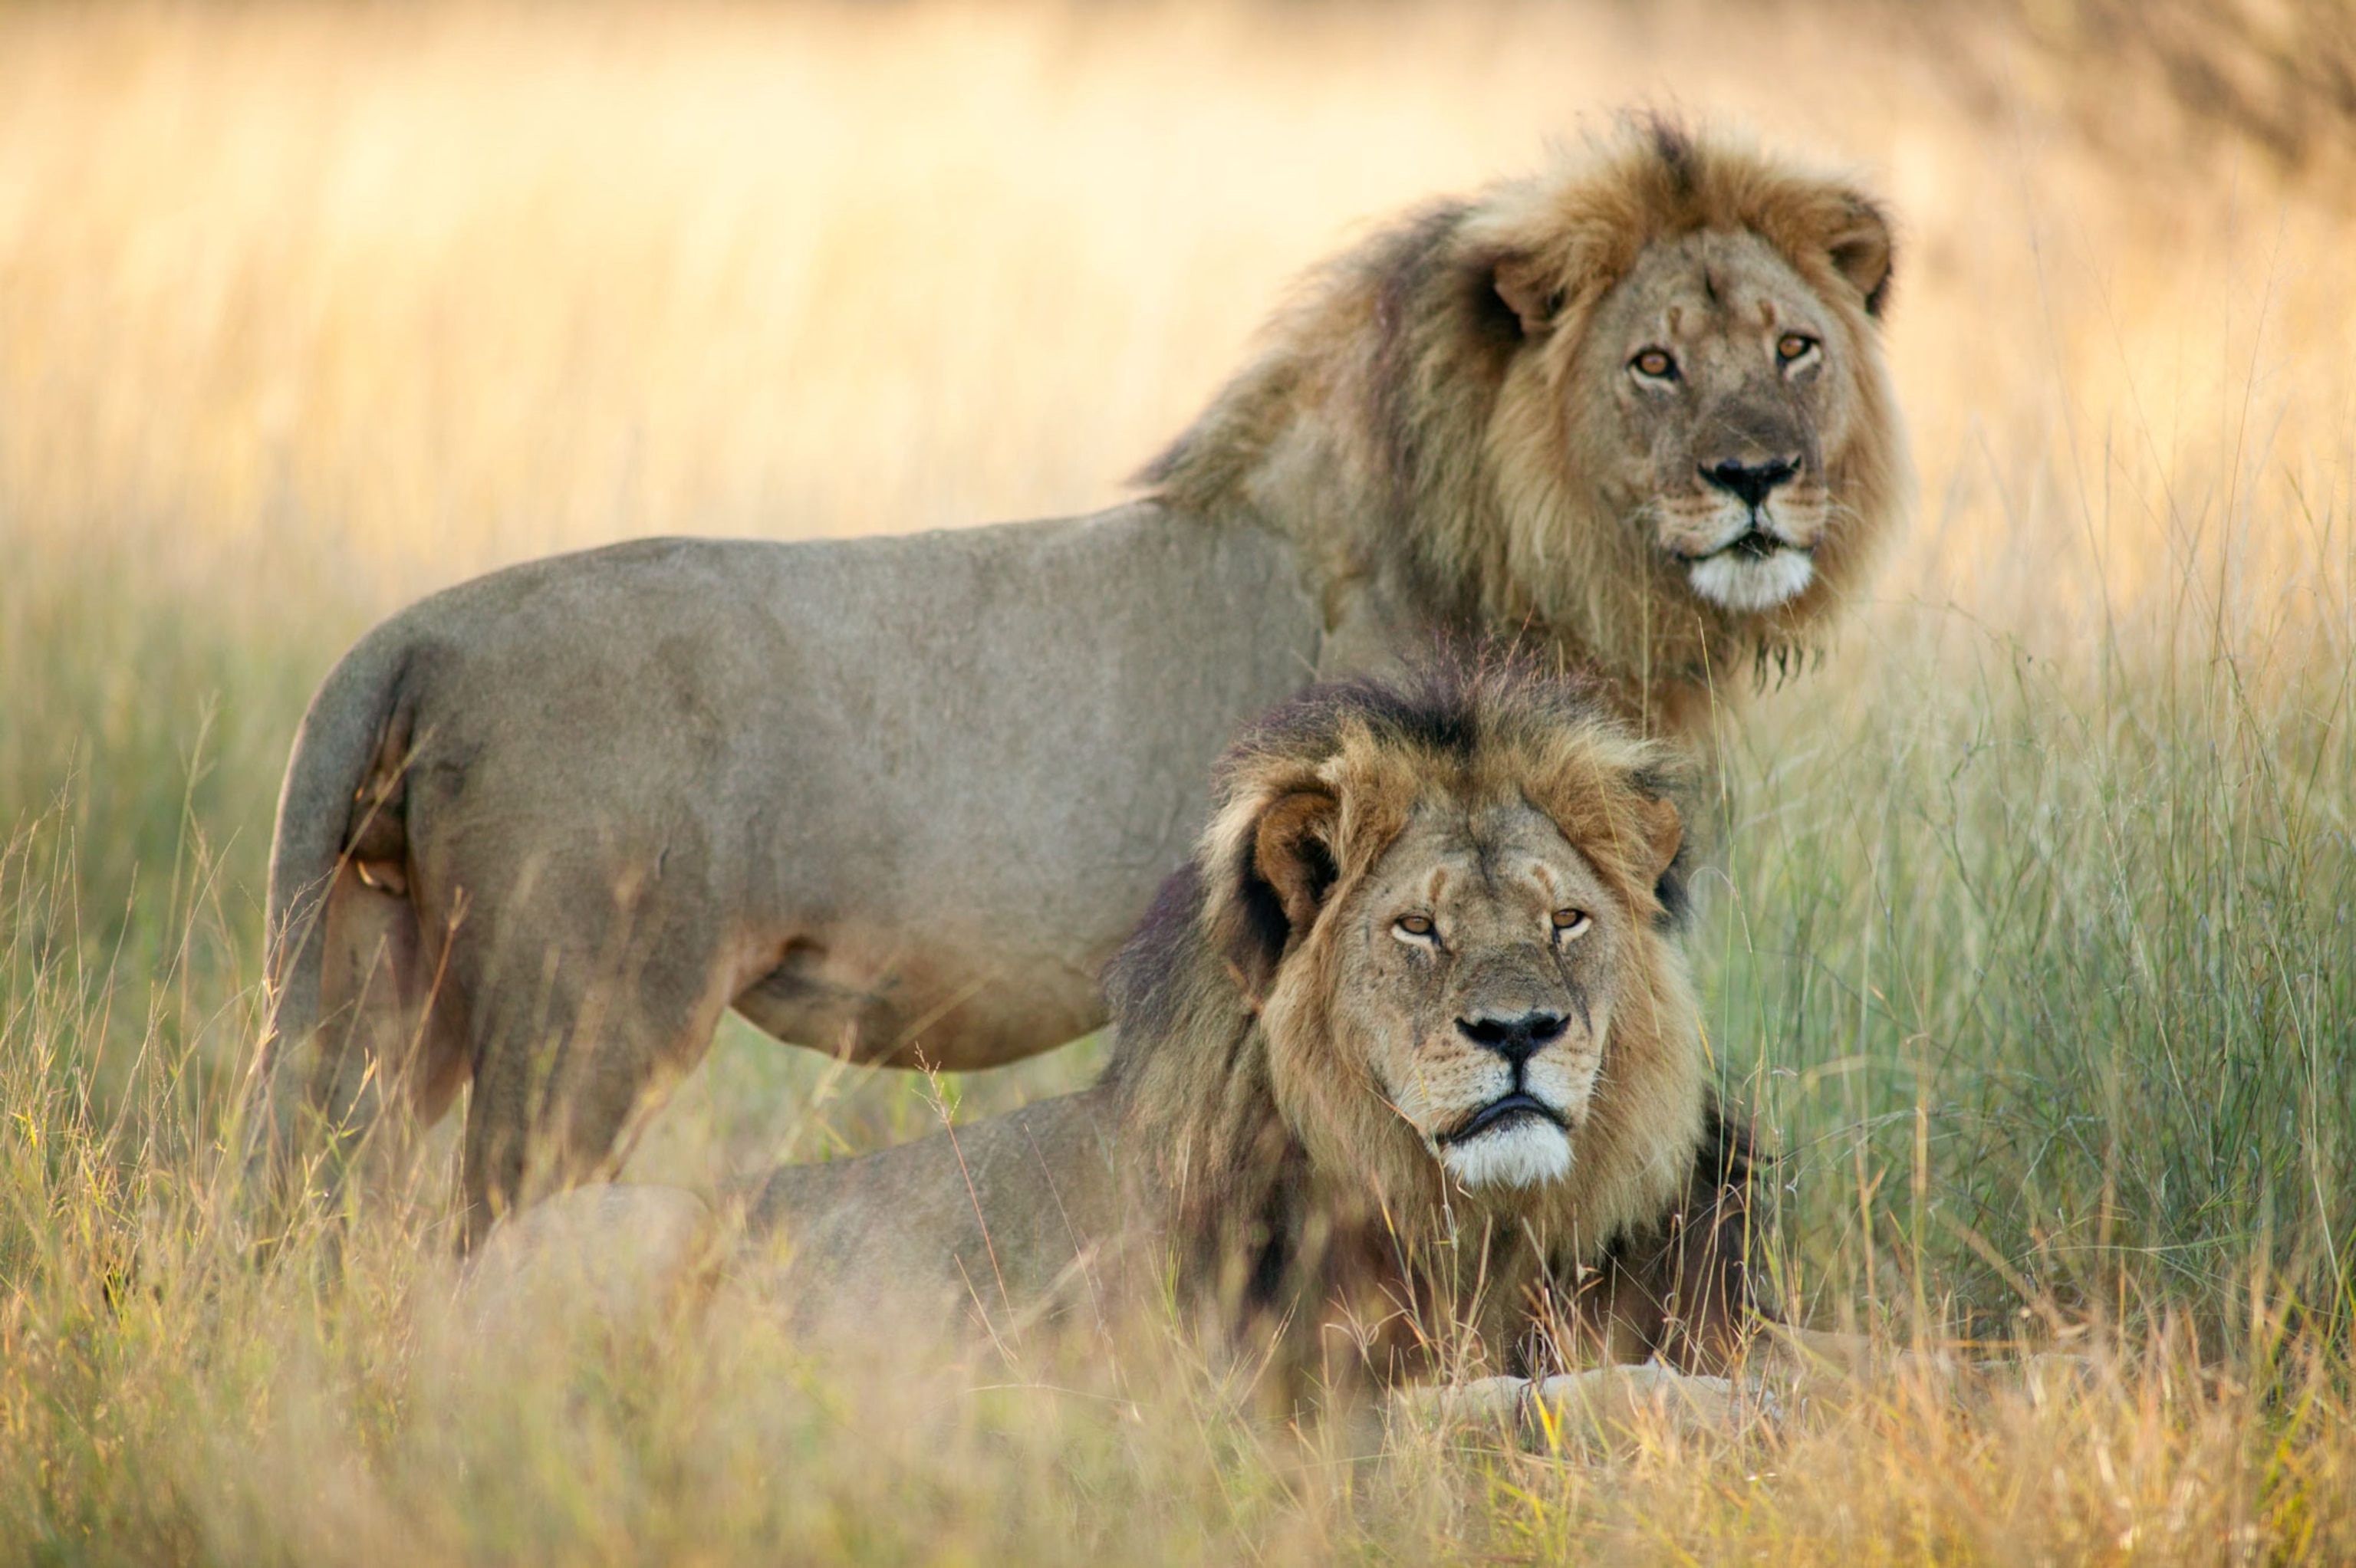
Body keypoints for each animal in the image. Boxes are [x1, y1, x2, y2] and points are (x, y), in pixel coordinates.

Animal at [254, 116, 1903, 1247]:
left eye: (1795, 348)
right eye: (1652, 366)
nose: (1758, 477)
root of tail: (413, 636)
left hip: (371, 992)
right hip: (584, 1020)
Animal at [475, 661, 1768, 1423]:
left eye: (1567, 921)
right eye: (1418, 926)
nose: (1522, 1032)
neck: (1467, 1216)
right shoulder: (1254, 1404)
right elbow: (1503, 1401)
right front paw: (1704, 1404)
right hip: (626, 1227)